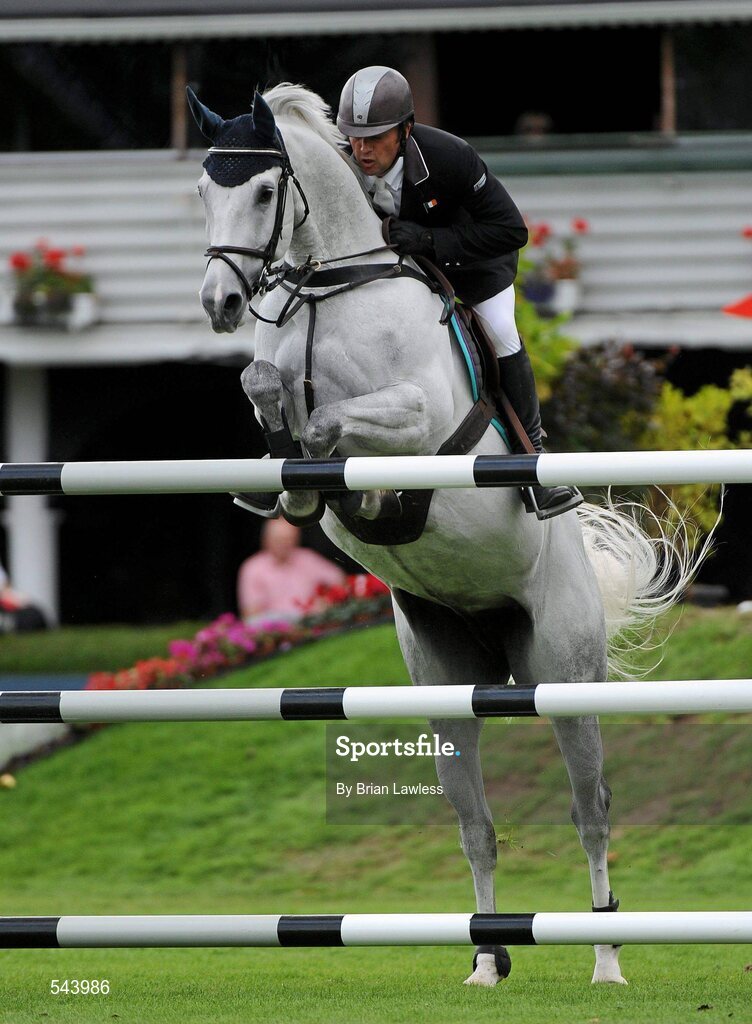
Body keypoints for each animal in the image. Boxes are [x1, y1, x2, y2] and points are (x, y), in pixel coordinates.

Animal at [189, 83, 697, 987]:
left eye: (263, 190)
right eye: (202, 192)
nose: (220, 305)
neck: (328, 287)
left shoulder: (418, 420)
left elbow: (335, 424)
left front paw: (324, 470)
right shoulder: (279, 368)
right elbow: (265, 383)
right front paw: (285, 481)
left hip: (565, 676)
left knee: (592, 810)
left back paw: (606, 960)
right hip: (445, 686)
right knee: (476, 824)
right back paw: (487, 960)